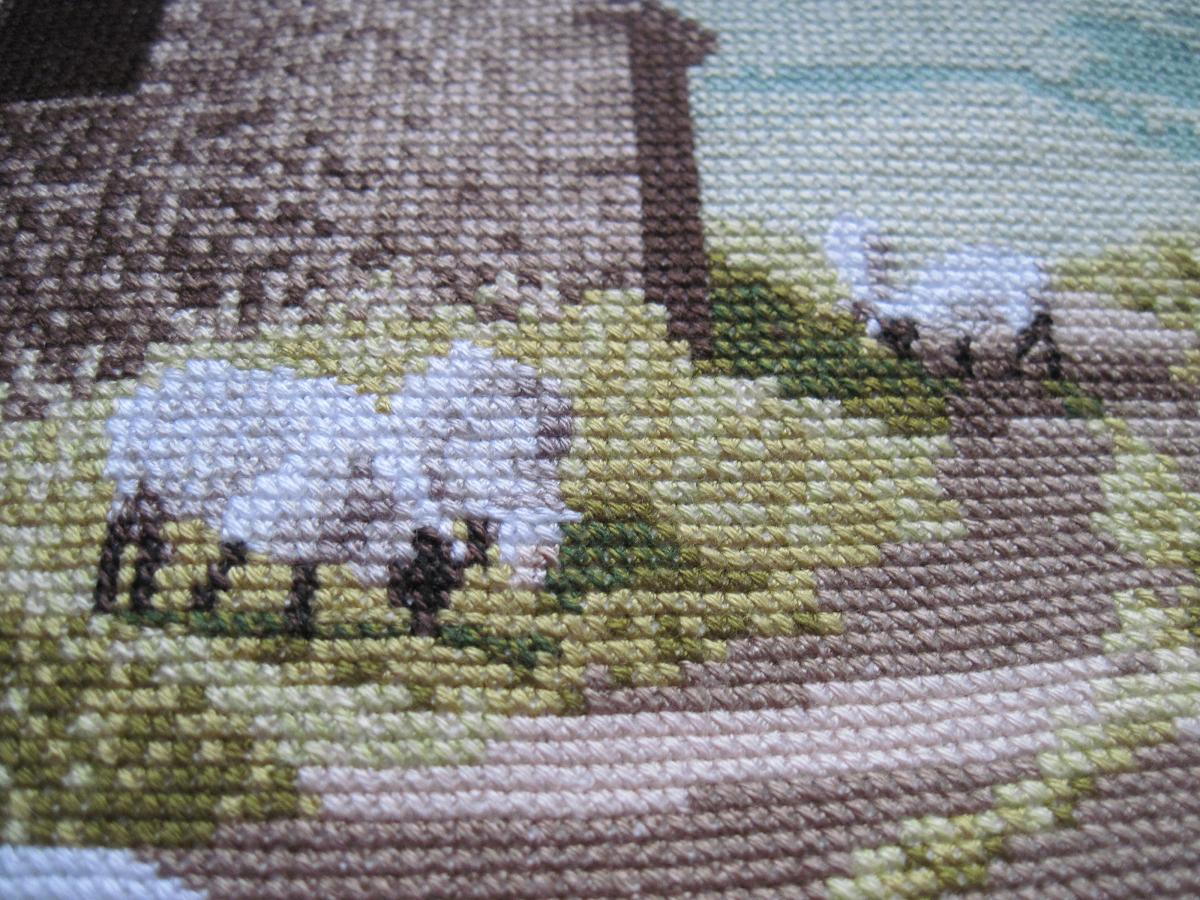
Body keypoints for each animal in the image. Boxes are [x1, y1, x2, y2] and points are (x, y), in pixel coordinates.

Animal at [93, 340, 579, 637]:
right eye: (421, 584)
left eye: (443, 592)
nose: (425, 635)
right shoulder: (273, 511)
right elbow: (235, 558)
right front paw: (206, 603)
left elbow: (304, 575)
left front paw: (298, 626)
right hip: (137, 482)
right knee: (120, 536)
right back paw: (106, 601)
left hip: (154, 494)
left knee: (150, 542)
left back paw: (136, 601)